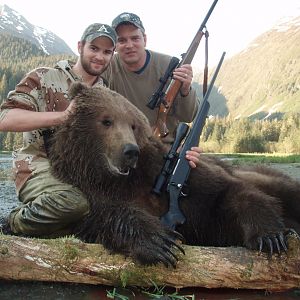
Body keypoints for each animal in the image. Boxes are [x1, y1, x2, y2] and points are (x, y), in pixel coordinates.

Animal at [48, 82, 298, 268]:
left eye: (133, 125)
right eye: (106, 120)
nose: (130, 151)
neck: (123, 180)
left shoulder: (177, 180)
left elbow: (225, 194)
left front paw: (270, 237)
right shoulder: (88, 188)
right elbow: (105, 218)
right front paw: (160, 243)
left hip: (264, 176)